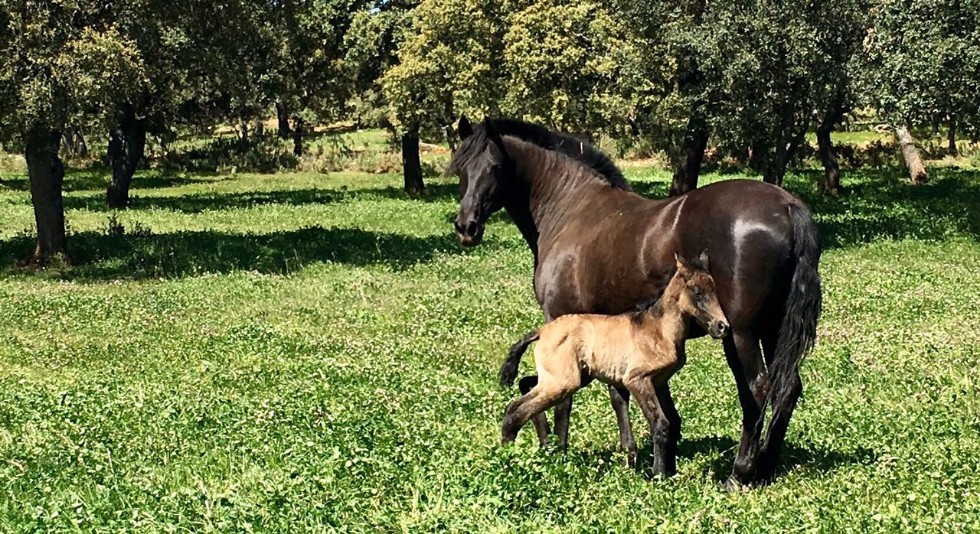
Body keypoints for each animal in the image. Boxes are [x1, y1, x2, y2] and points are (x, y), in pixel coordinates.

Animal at [498, 251, 728, 474]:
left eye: (714, 289)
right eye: (697, 292)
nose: (722, 326)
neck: (660, 329)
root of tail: (541, 331)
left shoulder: (660, 382)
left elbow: (672, 421)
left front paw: (668, 471)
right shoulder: (637, 379)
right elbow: (660, 422)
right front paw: (658, 474)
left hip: (567, 376)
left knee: (522, 391)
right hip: (564, 381)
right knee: (516, 410)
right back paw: (507, 457)